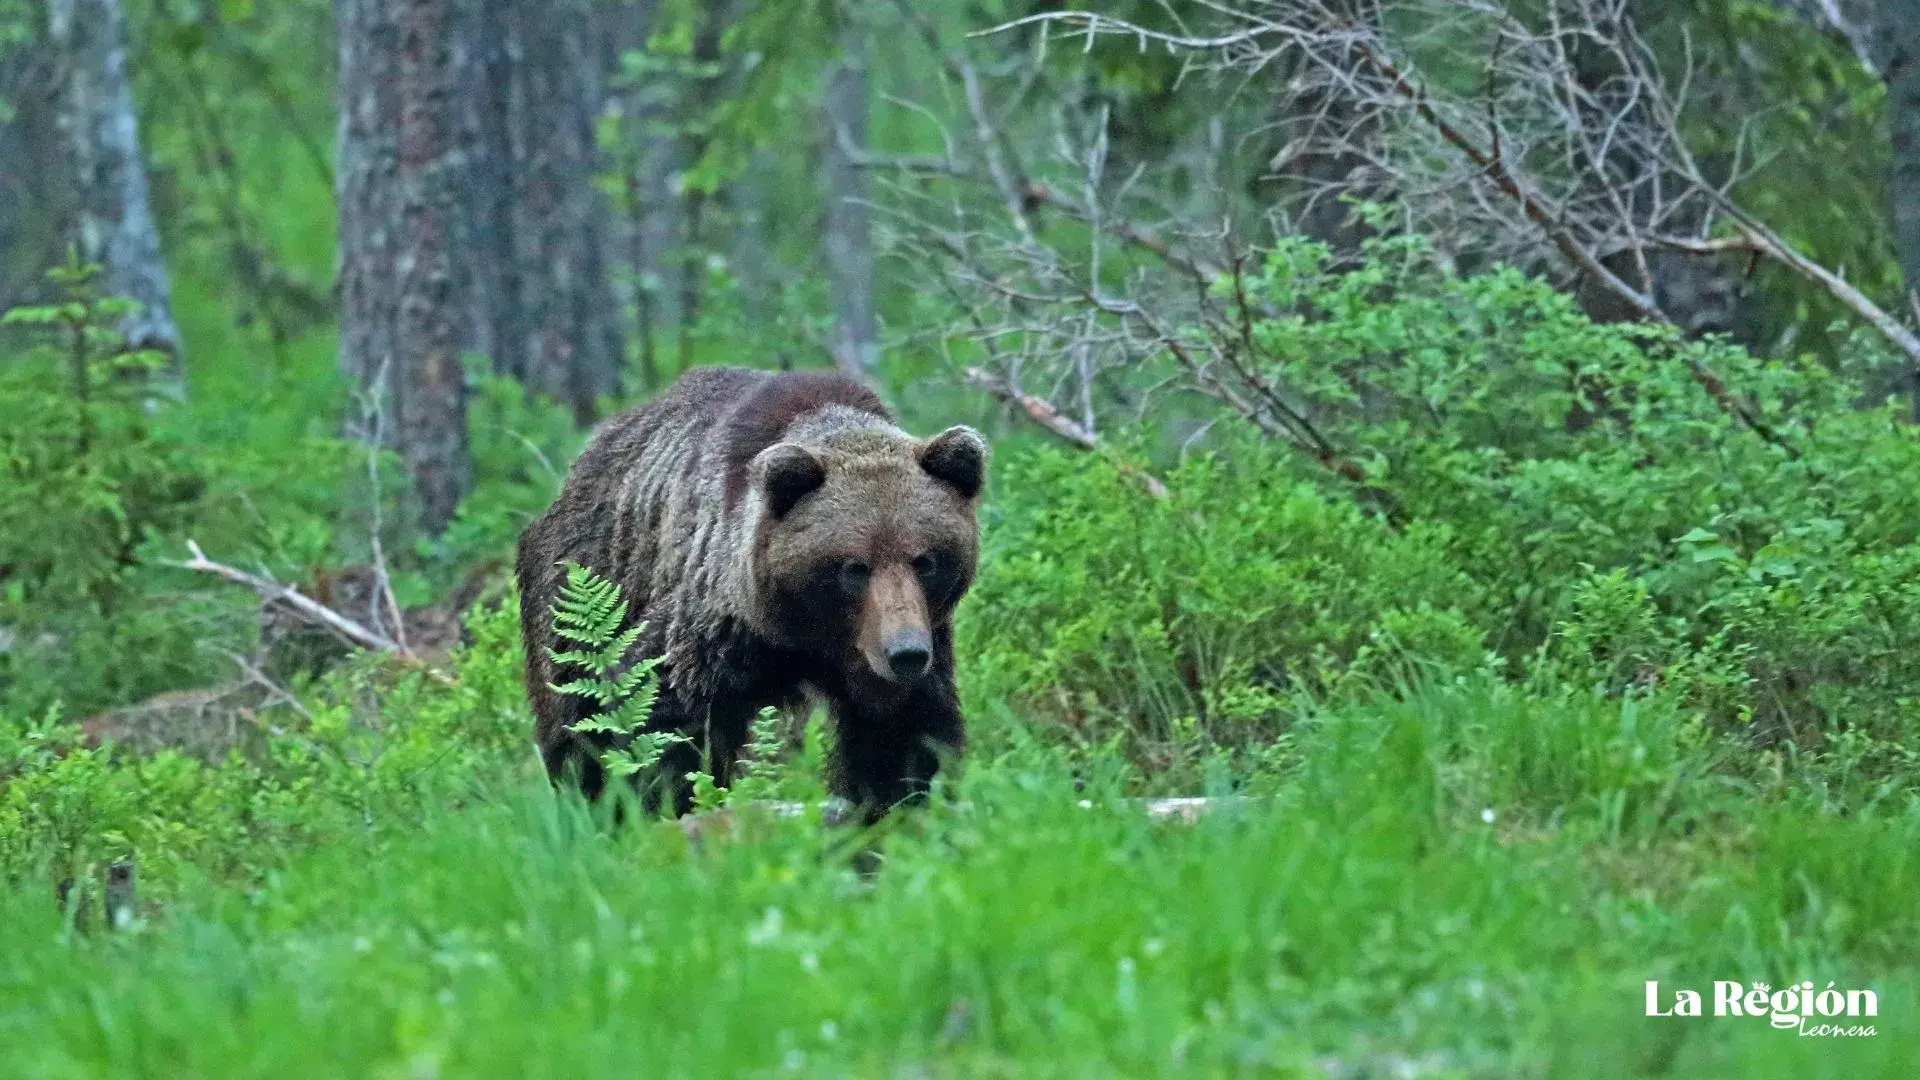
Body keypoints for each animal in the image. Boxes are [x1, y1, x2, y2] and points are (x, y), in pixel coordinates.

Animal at [515, 365, 988, 824]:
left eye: (925, 560)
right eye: (854, 566)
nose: (905, 653)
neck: (804, 634)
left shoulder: (908, 643)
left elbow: (901, 734)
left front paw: (893, 804)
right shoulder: (716, 619)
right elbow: (662, 710)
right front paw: (661, 804)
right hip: (579, 585)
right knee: (574, 722)